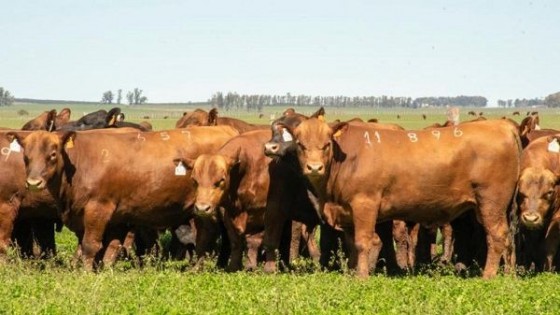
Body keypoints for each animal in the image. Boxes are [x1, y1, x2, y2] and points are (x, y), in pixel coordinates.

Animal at [10, 127, 238, 270]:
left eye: (53, 154)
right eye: (26, 157)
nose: (33, 183)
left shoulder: (98, 209)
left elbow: (91, 244)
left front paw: (86, 272)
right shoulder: (113, 217)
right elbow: (109, 246)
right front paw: (103, 269)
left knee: (213, 235)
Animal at [282, 117, 524, 278]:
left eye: (327, 144)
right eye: (300, 144)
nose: (315, 167)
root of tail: (501, 125)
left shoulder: (364, 204)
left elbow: (362, 242)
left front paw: (361, 276)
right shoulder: (347, 211)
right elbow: (351, 244)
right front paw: (351, 272)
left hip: (491, 203)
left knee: (497, 236)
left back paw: (488, 275)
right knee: (507, 240)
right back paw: (507, 274)